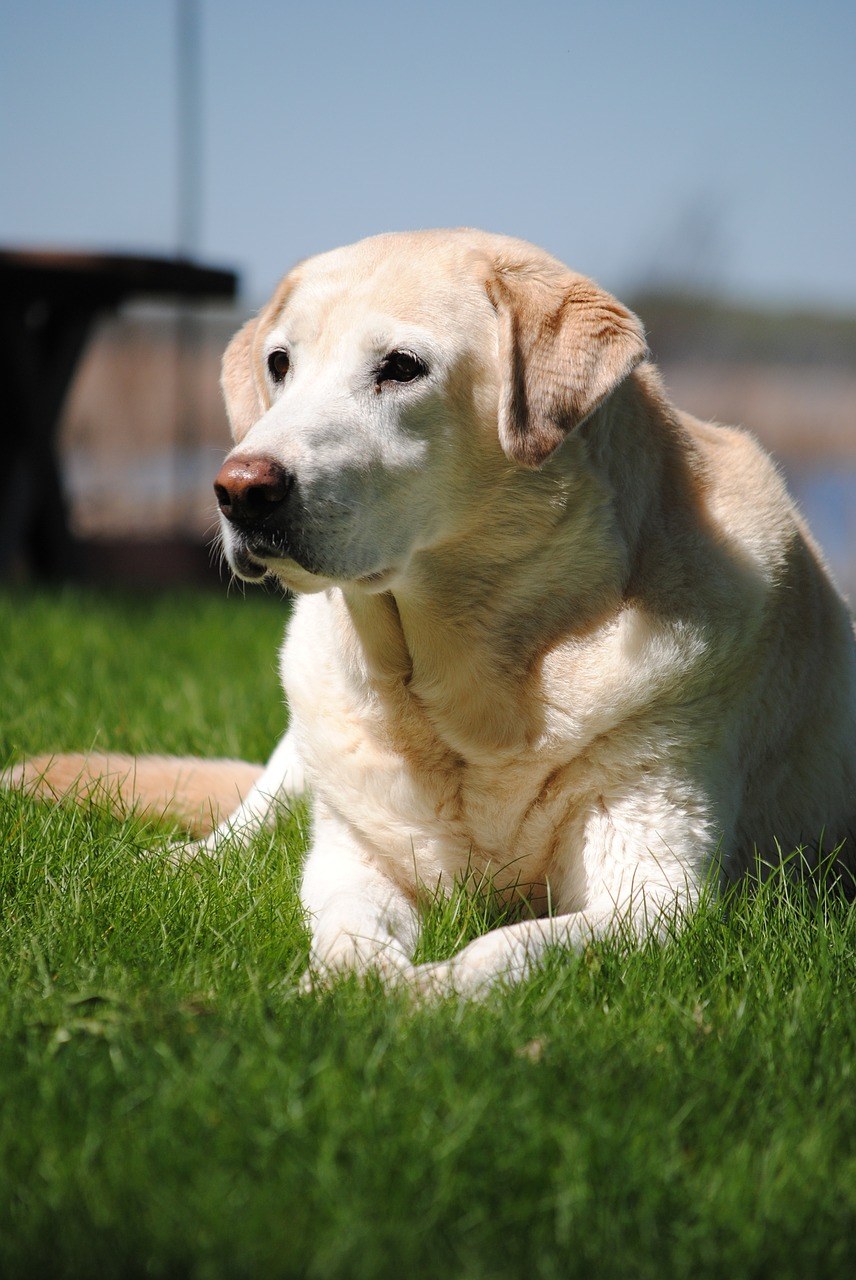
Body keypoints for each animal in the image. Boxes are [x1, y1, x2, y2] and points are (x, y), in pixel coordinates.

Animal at [8, 232, 854, 988]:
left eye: (400, 368)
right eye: (280, 364)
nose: (239, 488)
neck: (472, 682)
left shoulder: (655, 890)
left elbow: (509, 948)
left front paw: (429, 995)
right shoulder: (351, 859)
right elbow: (347, 930)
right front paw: (351, 986)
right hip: (303, 744)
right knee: (251, 816)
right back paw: (177, 865)